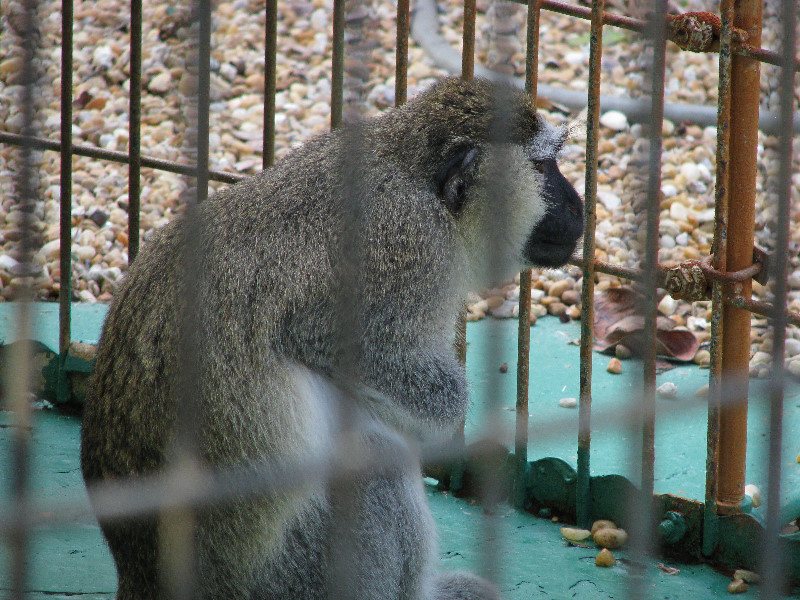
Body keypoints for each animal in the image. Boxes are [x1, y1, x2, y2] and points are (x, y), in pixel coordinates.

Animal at [79, 76, 580, 600]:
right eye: (543, 167)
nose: (577, 205)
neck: (417, 178)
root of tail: (142, 579)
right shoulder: (413, 249)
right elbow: (331, 341)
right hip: (292, 579)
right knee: (375, 462)